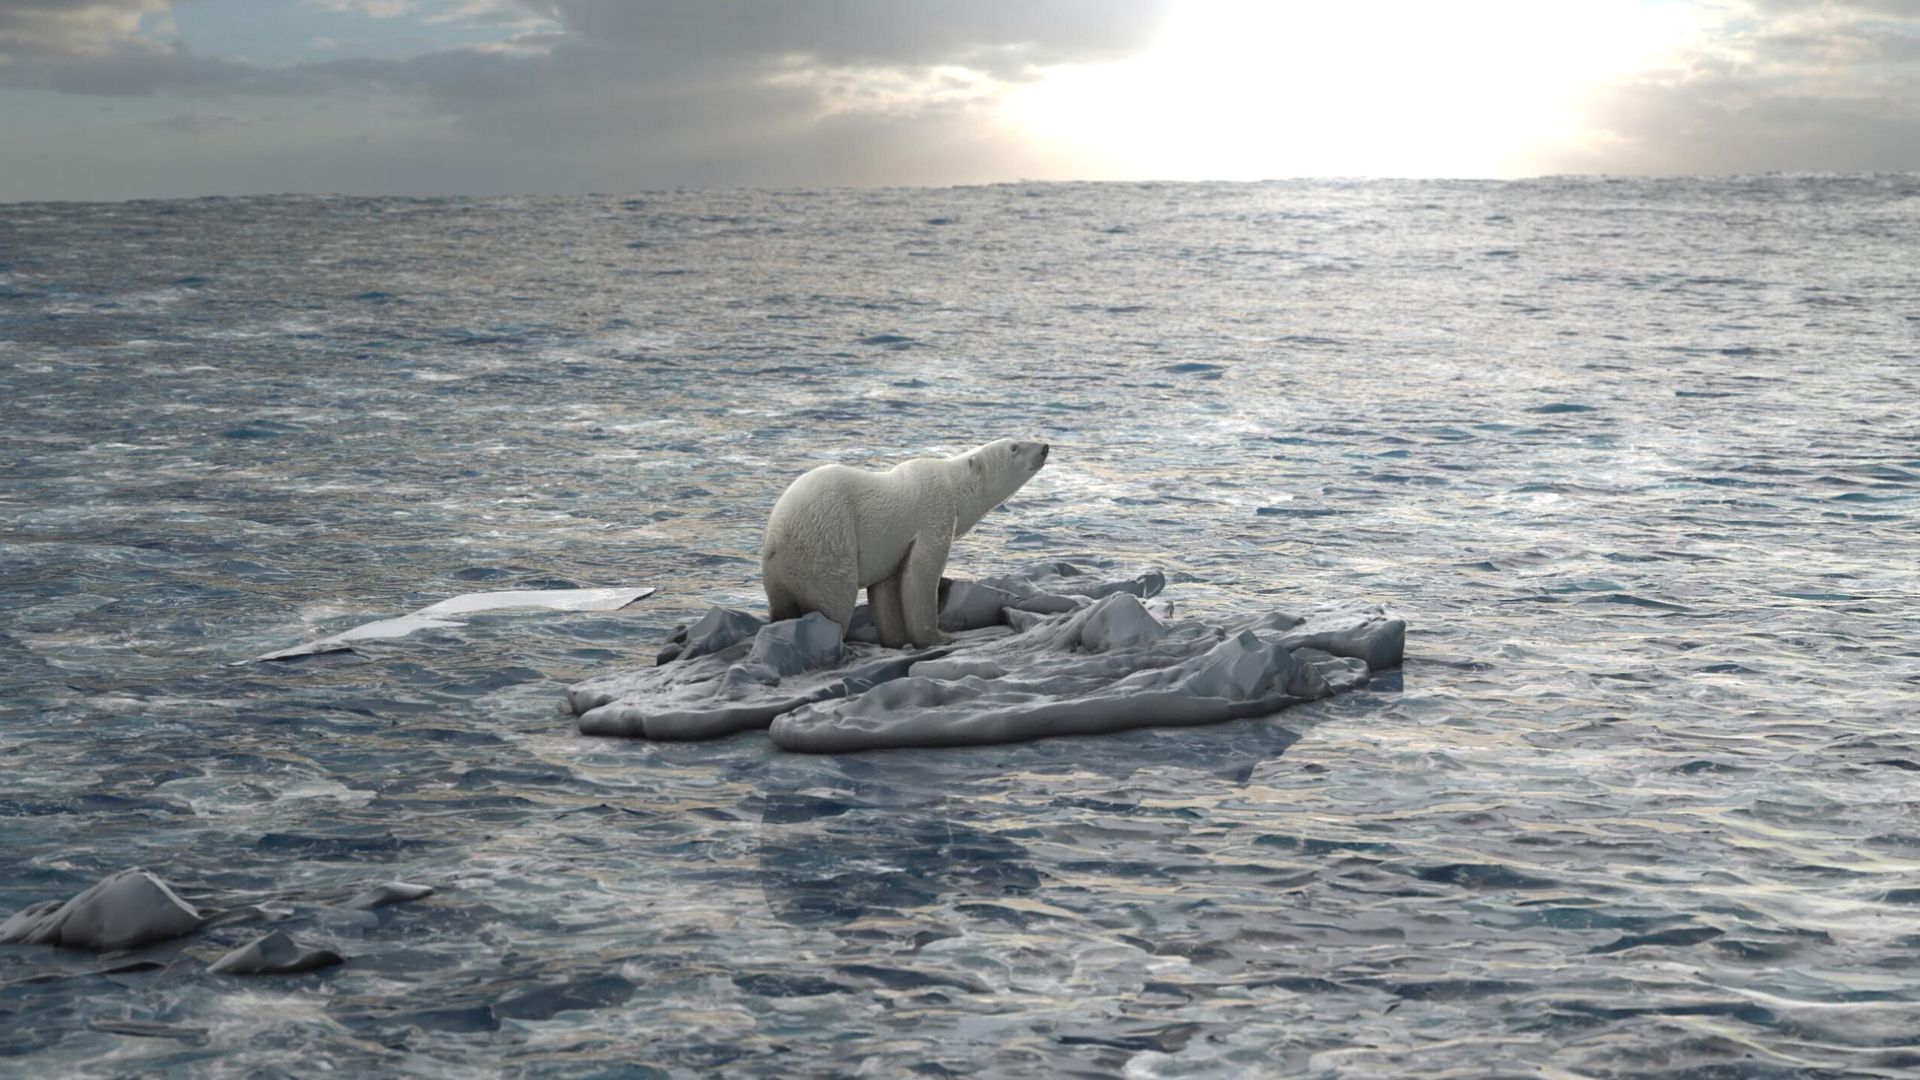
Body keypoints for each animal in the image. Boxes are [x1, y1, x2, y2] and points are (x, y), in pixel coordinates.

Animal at [761, 439, 1050, 649]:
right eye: (1013, 447)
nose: (1044, 447)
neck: (952, 483)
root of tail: (775, 539)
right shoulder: (933, 514)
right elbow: (921, 574)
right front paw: (939, 637)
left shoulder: (890, 546)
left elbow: (886, 588)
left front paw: (896, 640)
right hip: (826, 542)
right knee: (834, 599)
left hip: (779, 573)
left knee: (782, 604)